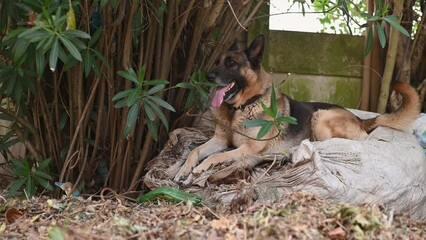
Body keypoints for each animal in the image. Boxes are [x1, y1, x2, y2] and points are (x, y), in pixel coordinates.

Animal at [173, 34, 420, 182]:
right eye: (217, 62)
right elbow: (196, 151)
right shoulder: (220, 140)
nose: (208, 76)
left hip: (321, 118)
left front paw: (199, 169)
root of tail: (359, 119)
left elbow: (215, 157)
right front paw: (184, 169)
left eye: (231, 64)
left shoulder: (248, 149)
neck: (242, 107)